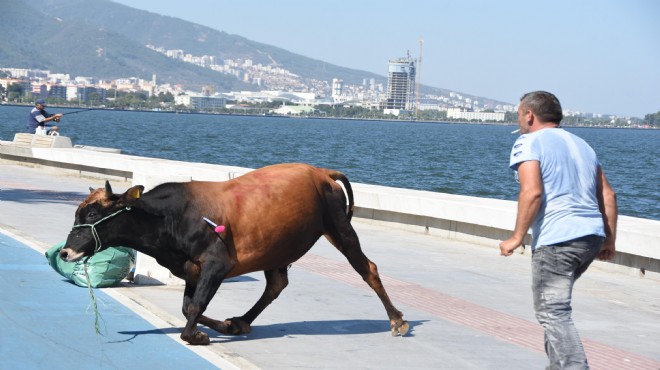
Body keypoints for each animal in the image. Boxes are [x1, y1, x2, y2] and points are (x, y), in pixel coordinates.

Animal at [63, 163, 412, 346]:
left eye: (92, 214)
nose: (65, 252)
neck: (168, 218)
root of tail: (321, 172)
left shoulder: (217, 264)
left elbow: (194, 311)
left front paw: (198, 335)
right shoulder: (191, 269)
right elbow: (188, 306)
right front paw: (218, 326)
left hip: (339, 227)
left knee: (368, 268)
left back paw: (396, 319)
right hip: (277, 247)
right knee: (276, 285)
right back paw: (239, 322)